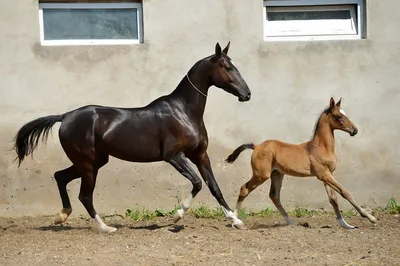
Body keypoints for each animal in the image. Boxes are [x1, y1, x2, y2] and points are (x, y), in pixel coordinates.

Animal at [14, 41, 250, 233]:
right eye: (227, 67)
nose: (247, 94)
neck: (184, 111)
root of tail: (65, 117)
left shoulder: (200, 155)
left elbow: (213, 186)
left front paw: (236, 221)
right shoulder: (173, 156)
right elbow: (198, 183)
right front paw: (177, 214)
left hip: (93, 162)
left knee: (60, 177)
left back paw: (61, 216)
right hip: (88, 165)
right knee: (84, 196)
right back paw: (106, 228)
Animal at [227, 97, 376, 229]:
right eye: (338, 116)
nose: (354, 130)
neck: (321, 147)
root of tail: (257, 146)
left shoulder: (328, 175)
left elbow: (333, 199)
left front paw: (345, 225)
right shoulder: (324, 175)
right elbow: (345, 192)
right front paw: (371, 218)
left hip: (277, 174)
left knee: (274, 196)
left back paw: (291, 222)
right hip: (261, 175)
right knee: (244, 189)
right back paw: (235, 221)